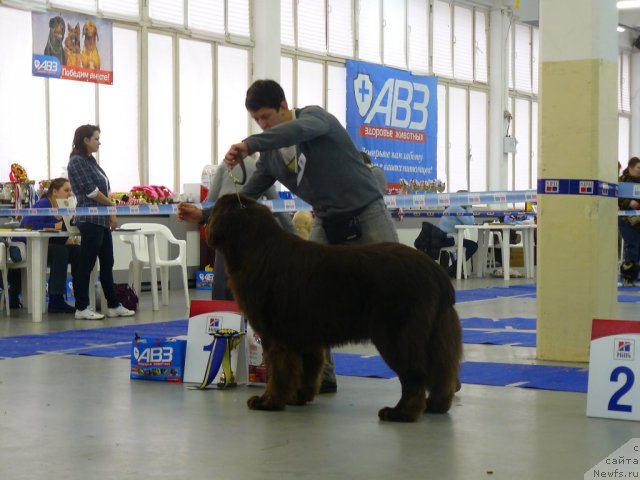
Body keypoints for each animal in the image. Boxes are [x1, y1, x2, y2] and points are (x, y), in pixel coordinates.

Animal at [208, 193, 462, 422]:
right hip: (435, 333)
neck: (255, 246)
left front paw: (269, 401)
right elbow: (308, 368)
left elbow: (279, 371)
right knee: (442, 371)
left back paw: (401, 413)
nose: (204, 216)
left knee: (415, 374)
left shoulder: (275, 335)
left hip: (395, 334)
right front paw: (298, 397)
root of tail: (436, 272)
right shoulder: (304, 336)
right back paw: (436, 406)